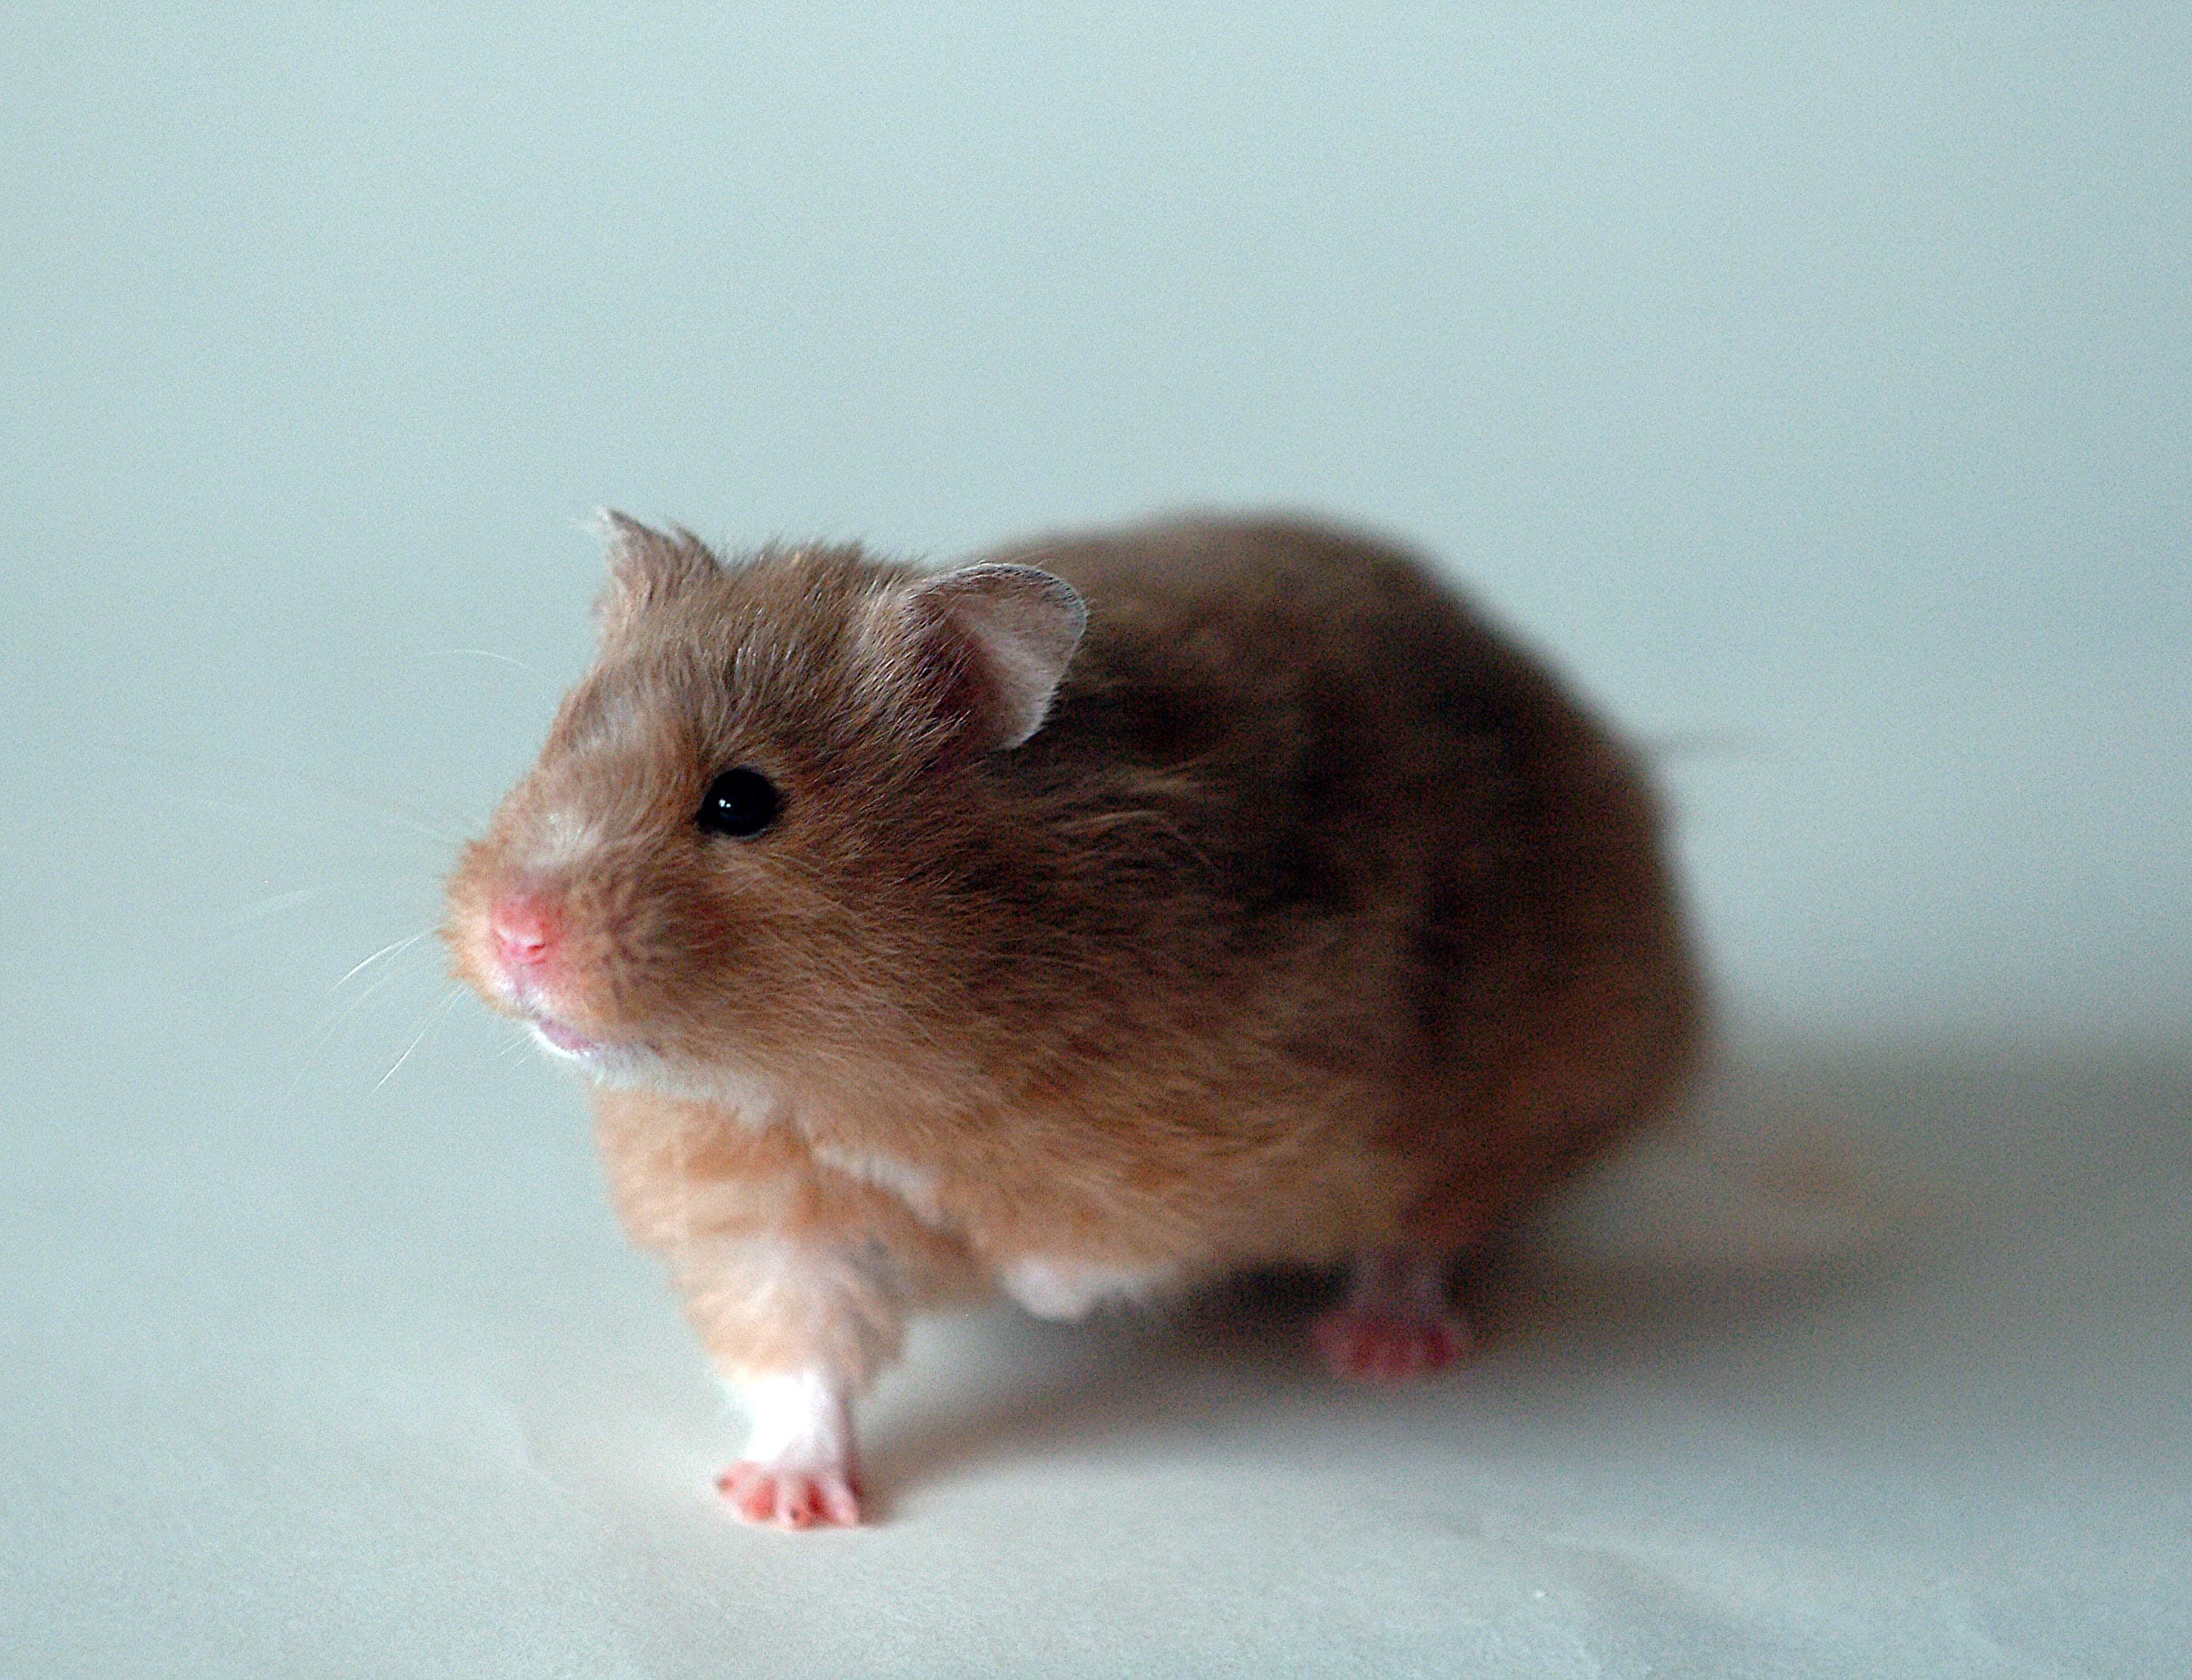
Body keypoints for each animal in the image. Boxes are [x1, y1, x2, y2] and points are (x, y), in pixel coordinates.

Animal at [444, 512, 1701, 1529]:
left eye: (742, 801)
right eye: (553, 741)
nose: (515, 934)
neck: (847, 1067)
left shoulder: (1239, 1103)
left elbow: (1095, 1242)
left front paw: (1033, 1284)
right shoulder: (763, 1210)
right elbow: (799, 1356)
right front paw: (780, 1506)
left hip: (1532, 1061)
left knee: (1431, 1222)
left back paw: (1382, 1350)